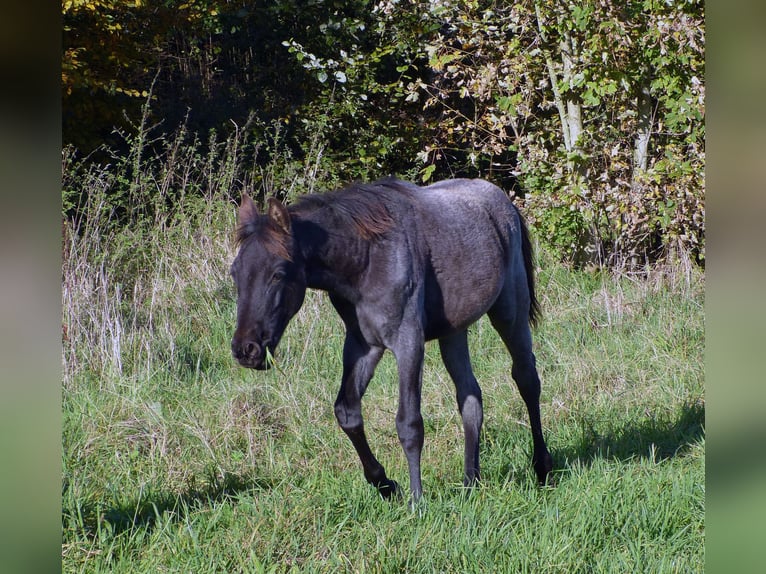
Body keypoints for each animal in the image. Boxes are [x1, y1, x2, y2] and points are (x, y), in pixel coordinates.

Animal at [231, 178, 556, 502]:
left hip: (510, 314)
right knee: (470, 397)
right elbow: (347, 412)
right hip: (453, 332)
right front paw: (386, 485)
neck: (366, 259)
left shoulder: (408, 342)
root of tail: (503, 201)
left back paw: (542, 469)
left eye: (278, 273)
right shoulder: (363, 345)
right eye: (235, 273)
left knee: (527, 380)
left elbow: (409, 423)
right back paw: (470, 483)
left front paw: (417, 500)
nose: (246, 349)